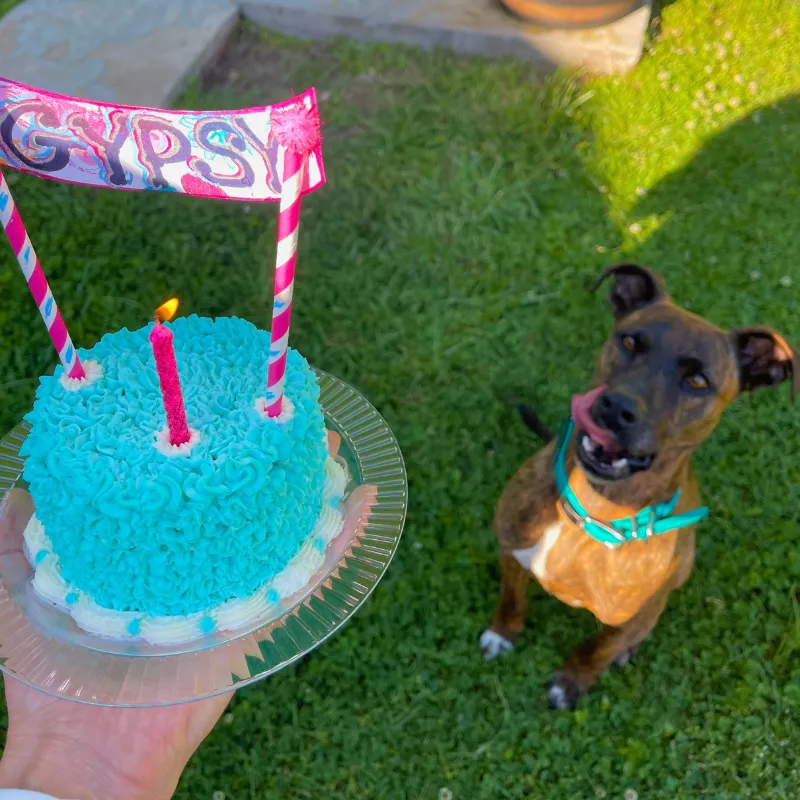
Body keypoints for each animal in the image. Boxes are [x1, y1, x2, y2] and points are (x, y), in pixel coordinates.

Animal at [482, 262, 800, 708]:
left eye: (698, 381)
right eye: (630, 341)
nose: (616, 407)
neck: (595, 510)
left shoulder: (632, 617)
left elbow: (597, 649)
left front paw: (572, 681)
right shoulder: (511, 551)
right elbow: (511, 600)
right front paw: (502, 633)